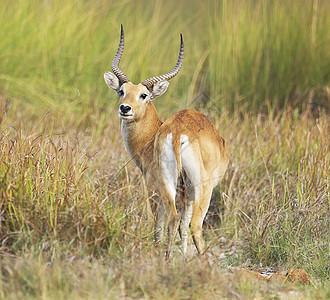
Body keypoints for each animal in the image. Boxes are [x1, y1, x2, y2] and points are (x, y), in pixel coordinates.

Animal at [104, 24, 229, 256]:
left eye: (143, 94)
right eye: (121, 91)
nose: (125, 108)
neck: (151, 137)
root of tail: (178, 132)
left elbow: (174, 227)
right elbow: (179, 225)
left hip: (171, 185)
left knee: (174, 219)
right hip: (199, 188)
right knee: (192, 224)